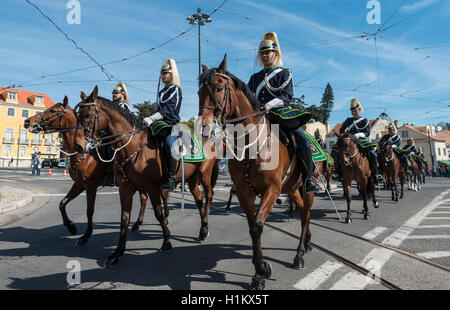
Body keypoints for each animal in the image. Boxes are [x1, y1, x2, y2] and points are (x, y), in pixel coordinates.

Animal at [23, 97, 152, 245]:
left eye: (53, 111)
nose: (28, 121)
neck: (83, 153)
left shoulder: (91, 186)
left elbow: (89, 210)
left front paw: (85, 236)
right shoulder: (79, 184)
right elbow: (62, 203)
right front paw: (71, 227)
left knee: (144, 198)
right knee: (144, 197)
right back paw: (137, 224)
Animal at [74, 86, 220, 266]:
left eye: (87, 115)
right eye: (78, 115)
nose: (79, 146)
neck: (133, 146)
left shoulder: (152, 187)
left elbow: (158, 214)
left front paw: (167, 240)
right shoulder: (125, 187)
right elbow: (124, 218)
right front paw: (117, 252)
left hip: (204, 175)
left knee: (209, 196)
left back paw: (205, 229)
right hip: (191, 180)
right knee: (199, 200)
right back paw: (202, 230)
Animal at [199, 56, 314, 290]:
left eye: (219, 88)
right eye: (198, 92)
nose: (204, 127)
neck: (250, 145)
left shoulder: (272, 189)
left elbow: (258, 227)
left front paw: (260, 272)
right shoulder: (245, 191)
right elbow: (252, 227)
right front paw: (260, 269)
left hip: (306, 188)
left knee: (306, 213)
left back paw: (299, 255)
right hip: (292, 189)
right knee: (302, 214)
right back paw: (305, 244)